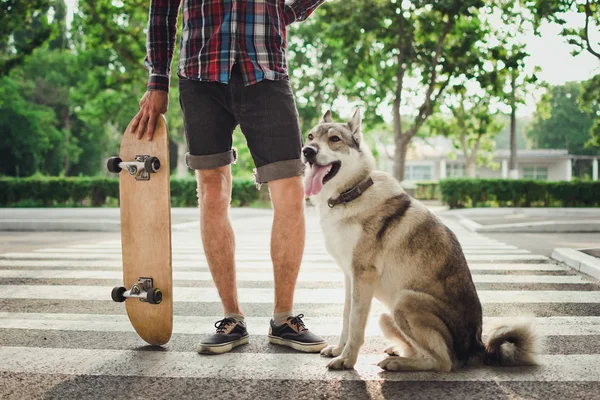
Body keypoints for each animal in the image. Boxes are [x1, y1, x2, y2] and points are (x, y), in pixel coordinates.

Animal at [302, 109, 540, 372]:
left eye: (334, 139)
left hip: (403, 301)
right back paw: (398, 353)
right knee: (425, 353)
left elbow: (356, 324)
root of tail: (477, 347)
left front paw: (347, 360)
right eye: (310, 136)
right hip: (387, 314)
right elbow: (346, 318)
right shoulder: (349, 277)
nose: (307, 151)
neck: (352, 193)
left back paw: (397, 363)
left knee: (443, 362)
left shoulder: (363, 276)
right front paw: (338, 349)